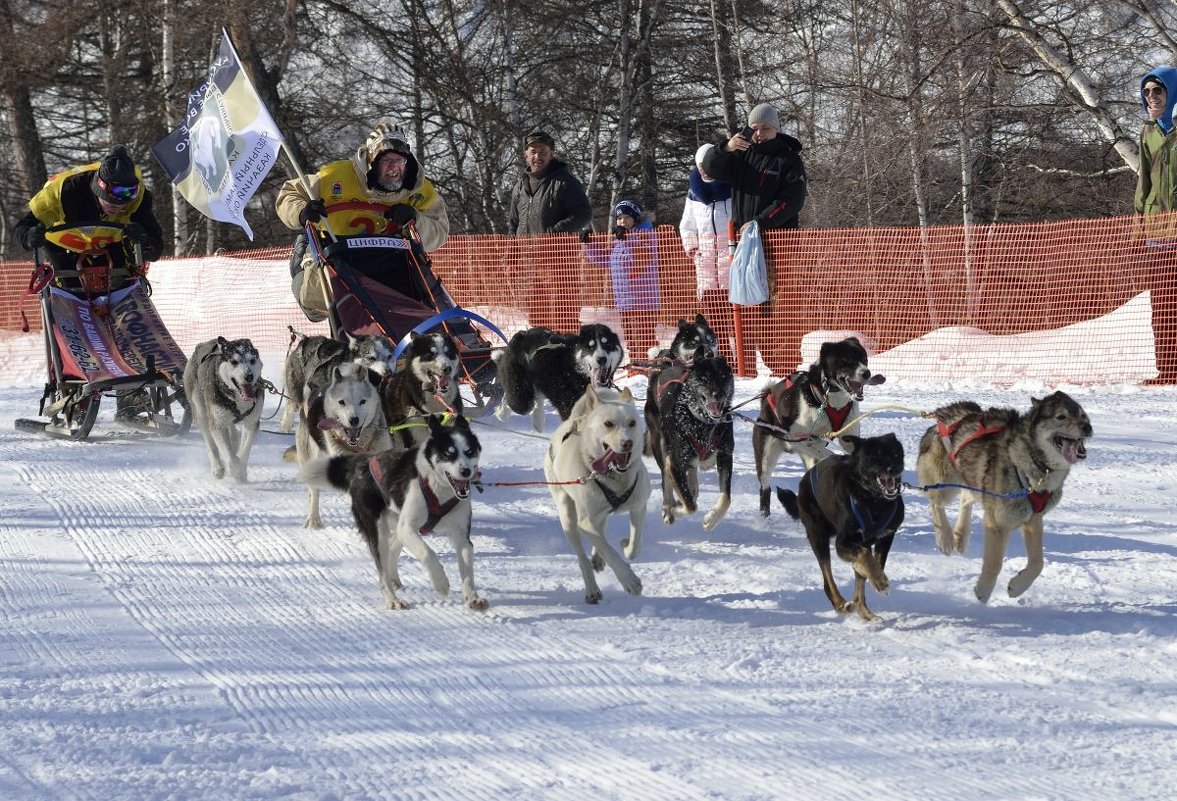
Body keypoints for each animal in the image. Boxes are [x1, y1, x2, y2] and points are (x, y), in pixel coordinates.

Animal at [494, 322, 626, 430]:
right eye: (590, 347)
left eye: (607, 344)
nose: (601, 359)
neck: (576, 369)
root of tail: (521, 334)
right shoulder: (569, 407)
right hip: (520, 394)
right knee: (516, 400)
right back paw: (502, 412)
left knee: (536, 397)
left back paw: (538, 421)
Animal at [644, 355, 734, 531]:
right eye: (704, 378)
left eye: (723, 376)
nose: (719, 394)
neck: (702, 423)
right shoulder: (675, 463)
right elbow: (691, 506)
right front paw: (674, 509)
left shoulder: (725, 456)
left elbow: (726, 498)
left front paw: (711, 519)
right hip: (659, 443)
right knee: (665, 476)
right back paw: (668, 506)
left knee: (690, 472)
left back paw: (691, 488)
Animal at [776, 435, 903, 621]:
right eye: (875, 456)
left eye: (895, 453)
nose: (891, 468)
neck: (873, 500)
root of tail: (804, 481)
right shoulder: (843, 543)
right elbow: (865, 557)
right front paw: (880, 581)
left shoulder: (886, 536)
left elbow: (874, 563)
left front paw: (874, 576)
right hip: (818, 536)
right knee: (827, 578)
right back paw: (841, 604)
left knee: (858, 585)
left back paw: (865, 612)